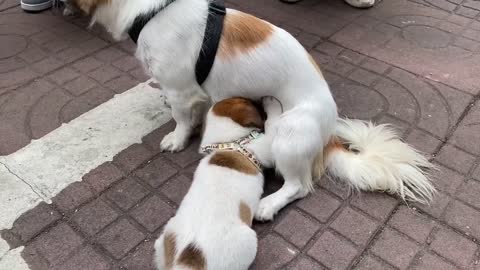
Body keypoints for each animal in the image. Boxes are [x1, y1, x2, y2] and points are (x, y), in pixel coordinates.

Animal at [66, 0, 436, 221]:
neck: (150, 11)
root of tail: (329, 132)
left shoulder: (180, 89)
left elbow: (181, 119)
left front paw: (177, 139)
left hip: (289, 135)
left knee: (298, 186)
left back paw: (269, 204)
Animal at [154, 97, 282, 270]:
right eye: (248, 102)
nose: (259, 99)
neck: (227, 143)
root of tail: (187, 262)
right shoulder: (264, 146)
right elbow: (272, 123)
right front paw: (272, 104)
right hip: (248, 241)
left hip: (165, 236)